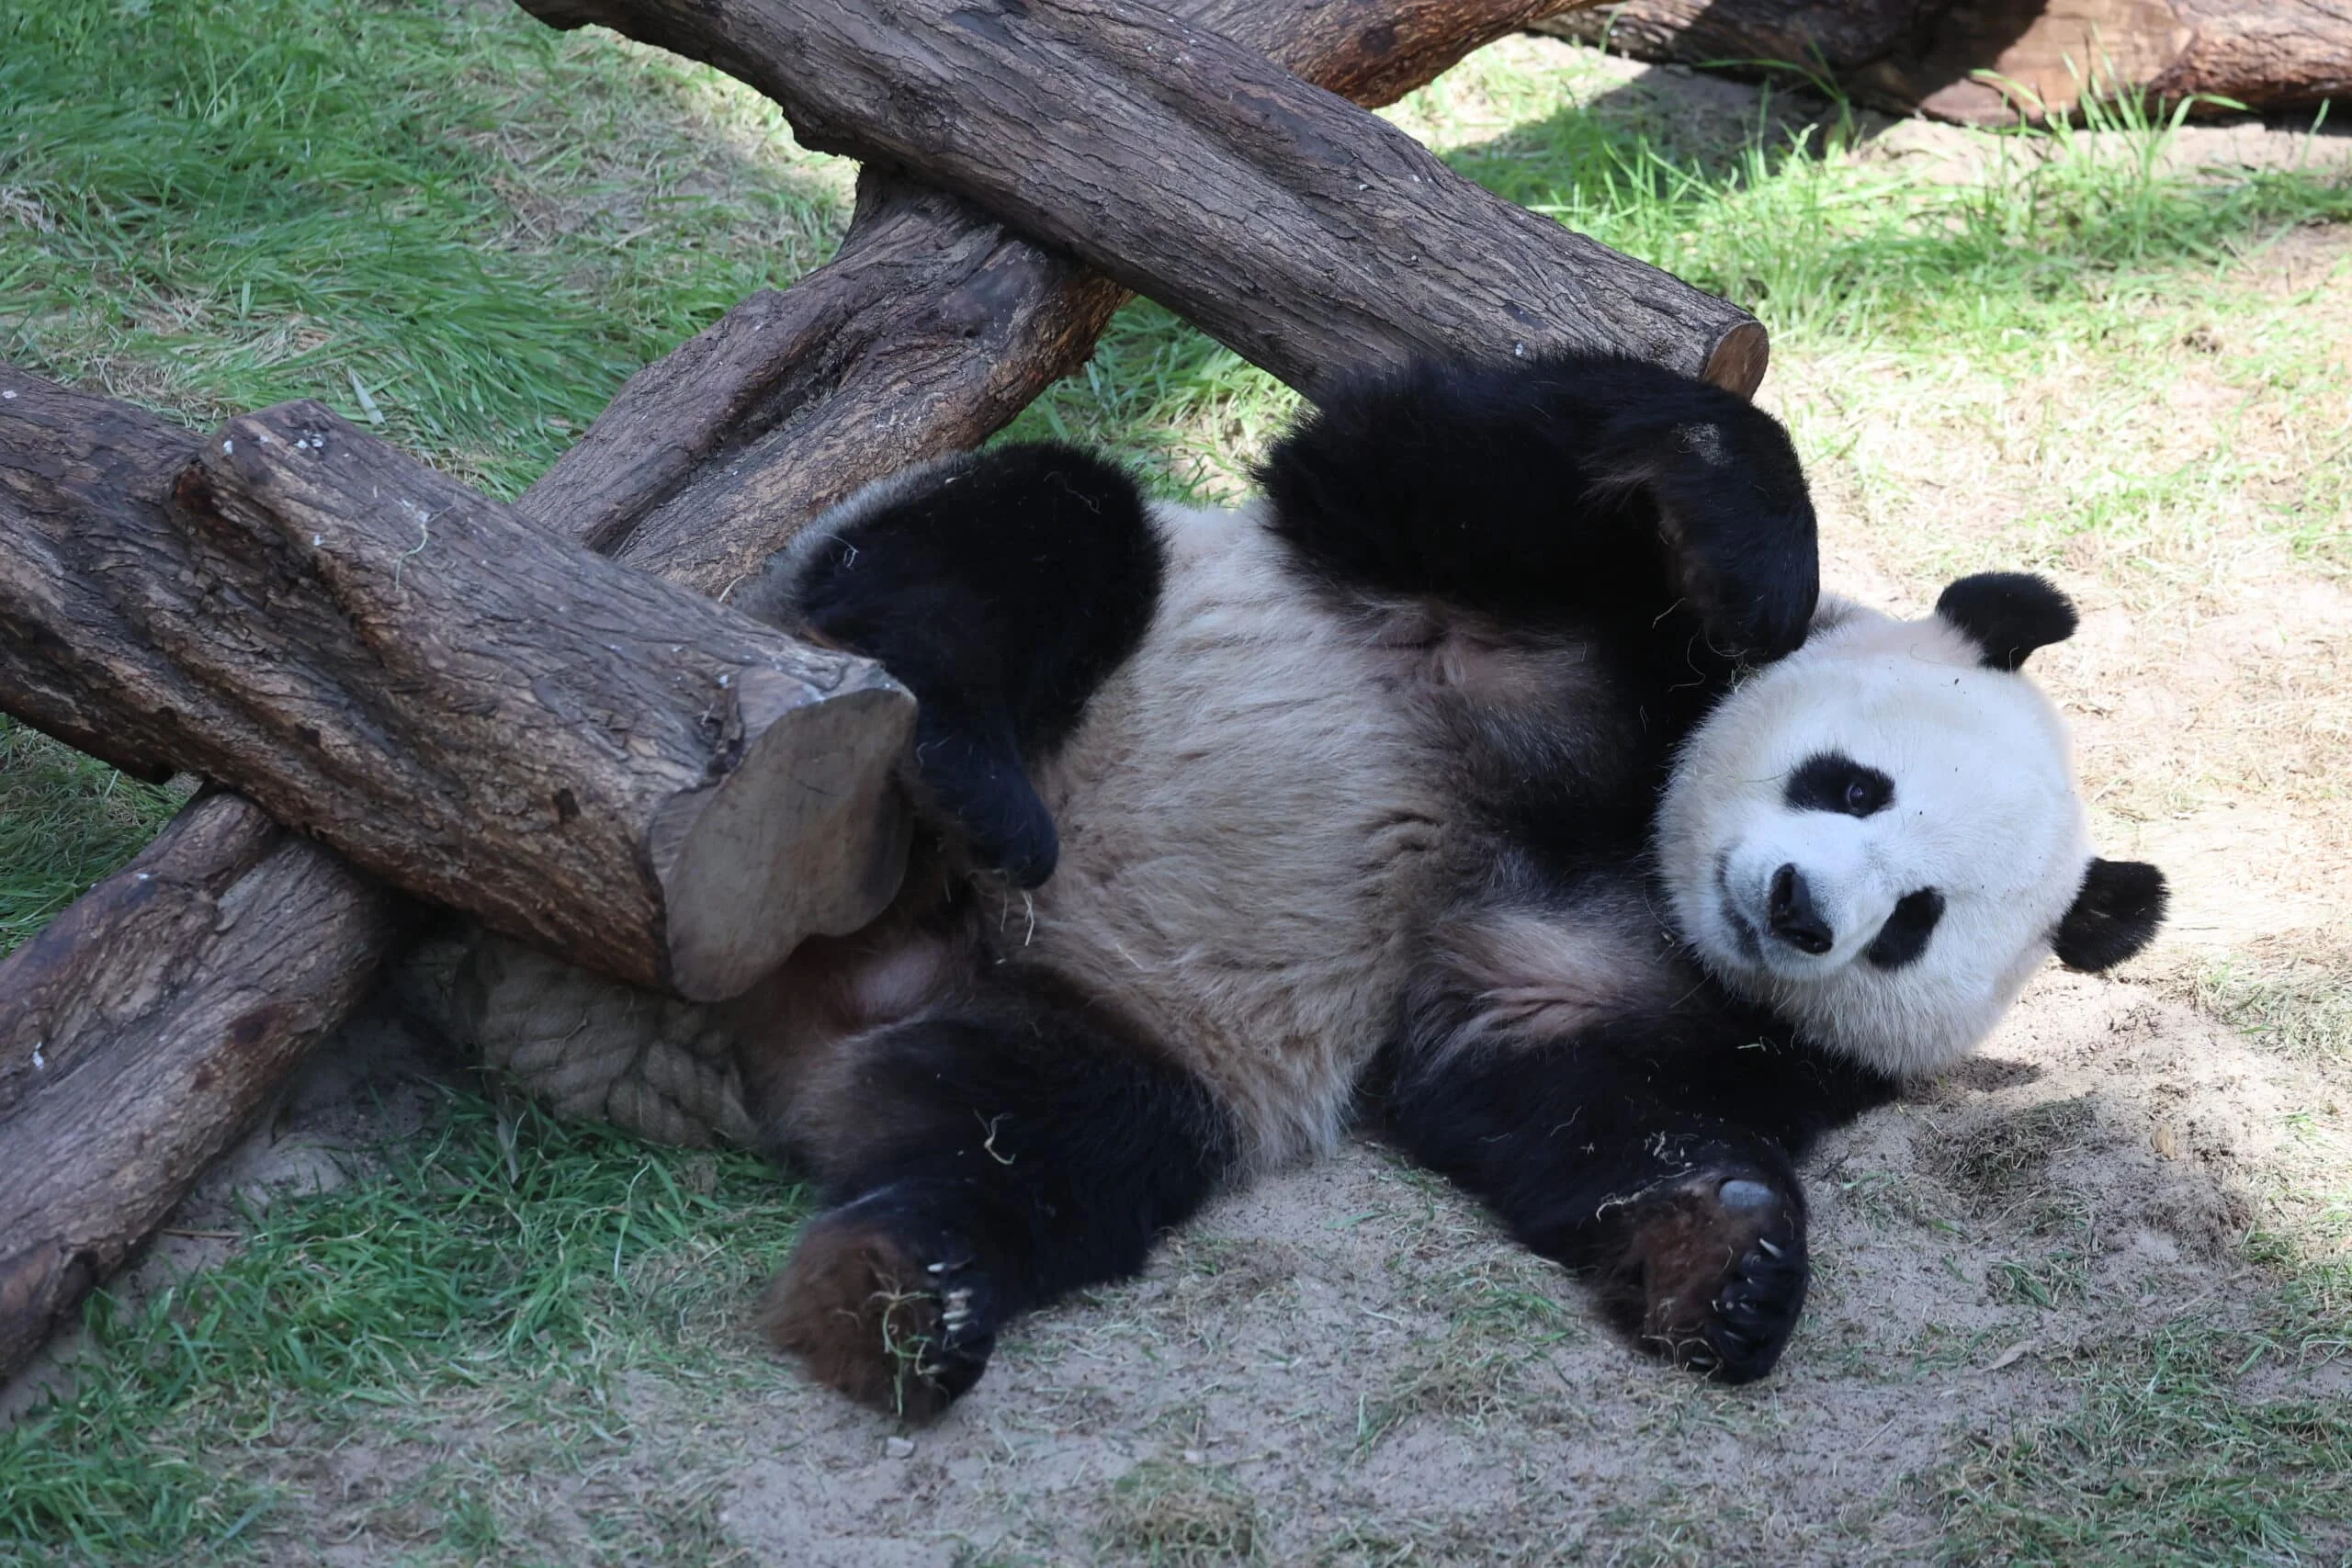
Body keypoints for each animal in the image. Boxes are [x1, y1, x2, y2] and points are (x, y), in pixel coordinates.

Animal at [715, 352, 2168, 1418]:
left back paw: (902, 1294)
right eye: (1854, 786)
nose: (1802, 908)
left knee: (1041, 1134)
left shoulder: (1705, 1014)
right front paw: (1752, 556)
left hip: (1104, 1032)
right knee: (1023, 539)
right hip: (922, 639)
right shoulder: (1531, 608)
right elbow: (1434, 463)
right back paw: (969, 773)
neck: (1639, 855)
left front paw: (1739, 1265)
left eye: (1914, 924)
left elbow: (1547, 1093)